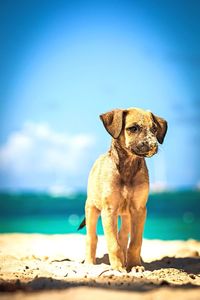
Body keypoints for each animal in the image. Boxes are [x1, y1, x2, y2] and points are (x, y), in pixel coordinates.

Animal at [79, 108, 166, 272]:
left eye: (154, 129)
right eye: (133, 128)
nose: (153, 145)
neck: (128, 167)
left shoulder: (139, 210)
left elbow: (135, 242)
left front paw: (135, 265)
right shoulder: (109, 211)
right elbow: (113, 244)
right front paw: (118, 267)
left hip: (127, 215)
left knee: (123, 236)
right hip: (91, 208)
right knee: (92, 237)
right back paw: (89, 263)